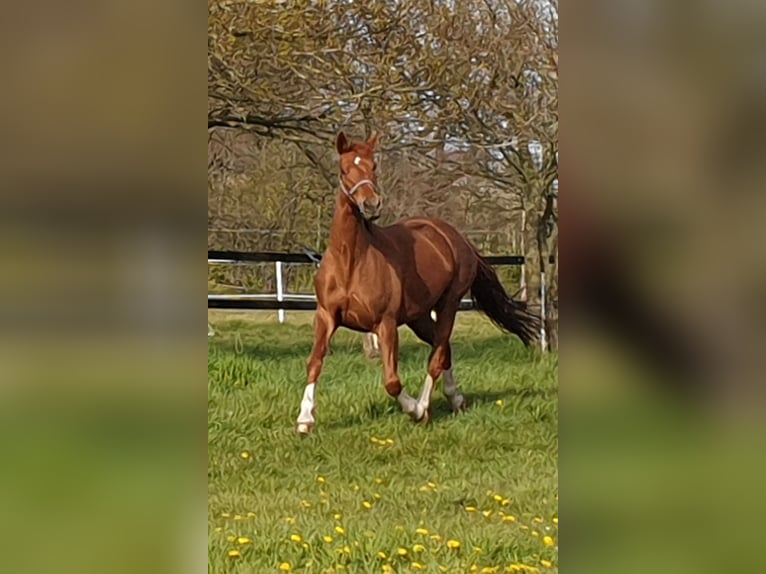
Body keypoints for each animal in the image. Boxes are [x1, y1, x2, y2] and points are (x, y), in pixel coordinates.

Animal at [294, 133, 540, 434]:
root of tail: (457, 237)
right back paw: (456, 399)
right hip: (419, 317)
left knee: (437, 355)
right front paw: (305, 420)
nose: (371, 204)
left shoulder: (386, 324)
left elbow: (392, 381)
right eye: (344, 169)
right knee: (444, 350)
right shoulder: (326, 316)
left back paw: (425, 408)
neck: (351, 261)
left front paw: (413, 409)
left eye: (374, 166)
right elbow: (314, 362)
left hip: (448, 305)